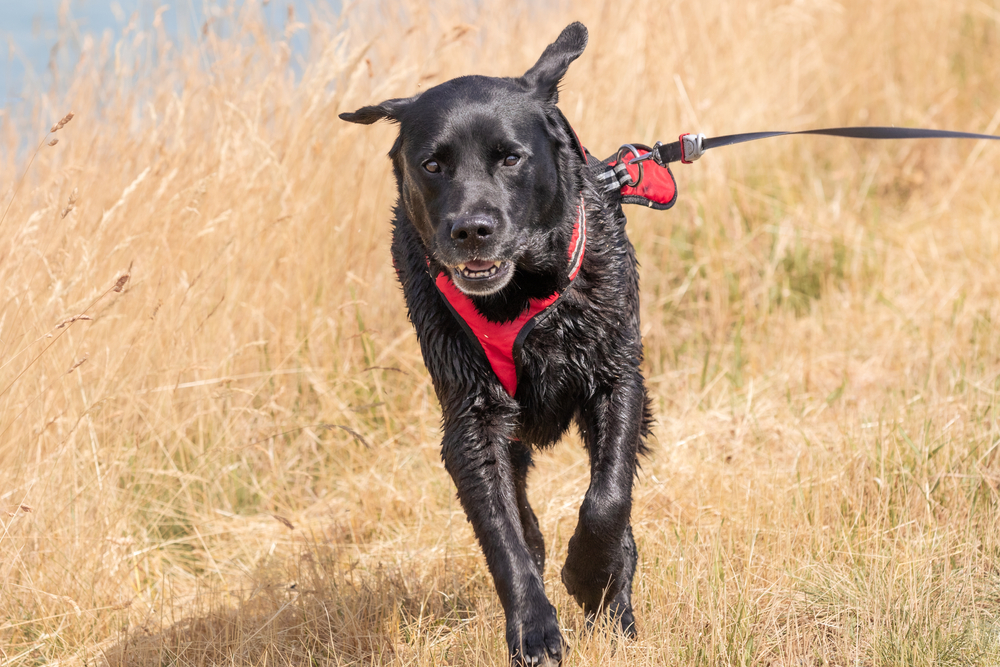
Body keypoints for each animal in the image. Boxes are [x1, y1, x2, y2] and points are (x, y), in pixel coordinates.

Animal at [340, 22, 652, 667]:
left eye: (510, 157)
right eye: (433, 164)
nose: (471, 230)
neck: (522, 296)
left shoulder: (617, 378)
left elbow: (607, 499)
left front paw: (589, 576)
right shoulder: (473, 419)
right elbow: (505, 537)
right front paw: (533, 630)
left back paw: (616, 609)